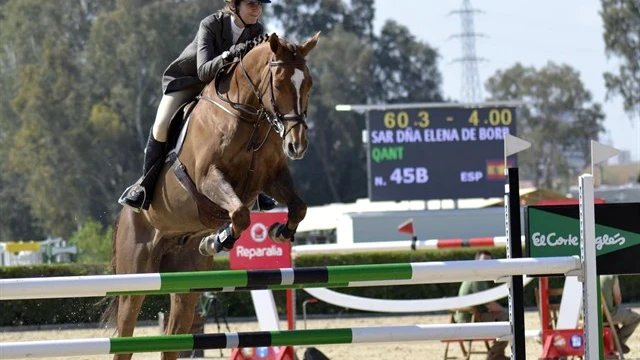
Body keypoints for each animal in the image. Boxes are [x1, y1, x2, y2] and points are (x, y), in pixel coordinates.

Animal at [104, 32, 320, 358]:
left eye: (307, 83)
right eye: (280, 82)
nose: (297, 145)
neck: (248, 116)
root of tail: (123, 215)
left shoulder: (270, 177)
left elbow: (298, 207)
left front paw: (280, 231)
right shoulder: (209, 178)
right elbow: (240, 214)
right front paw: (219, 239)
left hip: (186, 284)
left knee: (173, 337)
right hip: (136, 277)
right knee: (126, 336)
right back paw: (141, 197)